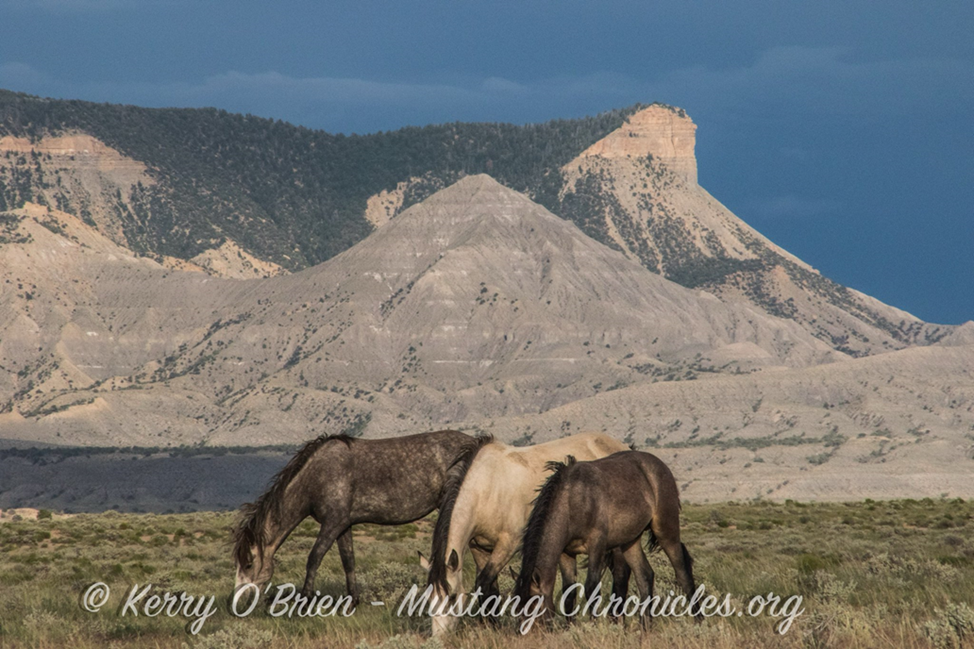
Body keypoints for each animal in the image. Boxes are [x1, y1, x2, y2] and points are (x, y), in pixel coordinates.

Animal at [235, 430, 480, 604]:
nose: (239, 602)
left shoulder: (332, 524)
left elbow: (314, 558)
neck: (316, 476)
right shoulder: (343, 526)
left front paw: (304, 601)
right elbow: (348, 561)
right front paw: (353, 601)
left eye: (248, 564)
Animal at [424, 430, 628, 632]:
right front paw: (490, 626)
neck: (487, 488)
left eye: (452, 596)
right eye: (429, 600)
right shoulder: (479, 549)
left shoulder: (508, 544)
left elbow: (484, 581)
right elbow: (488, 587)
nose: (439, 636)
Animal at [516, 450, 696, 628]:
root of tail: (661, 466)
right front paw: (571, 628)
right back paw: (645, 627)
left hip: (666, 532)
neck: (573, 500)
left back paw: (698, 621)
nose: (528, 633)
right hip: (630, 542)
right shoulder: (566, 553)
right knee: (644, 575)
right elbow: (569, 593)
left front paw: (594, 626)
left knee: (682, 573)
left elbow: (591, 587)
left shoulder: (597, 546)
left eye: (534, 606)